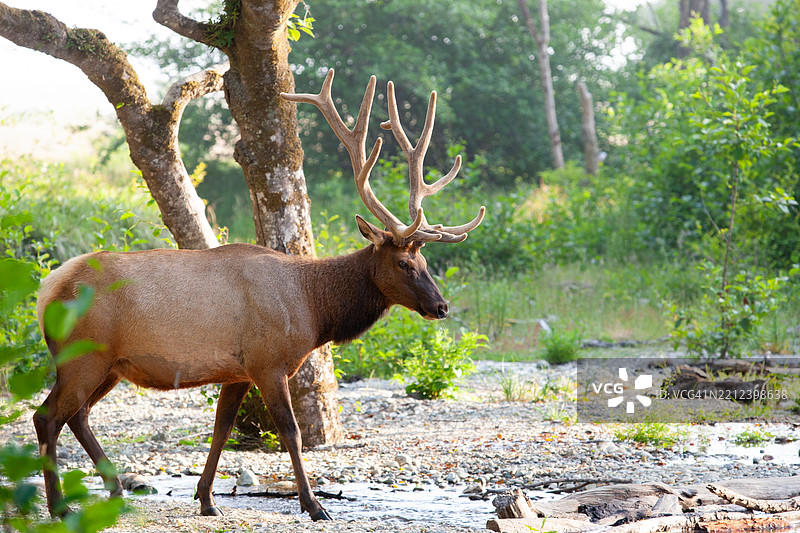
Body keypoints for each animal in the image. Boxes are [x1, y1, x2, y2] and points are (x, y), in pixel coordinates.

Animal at [34, 69, 485, 521]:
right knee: (48, 416)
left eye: (425, 262)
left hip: (108, 365)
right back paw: (59, 505)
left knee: (77, 416)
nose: (441, 306)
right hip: (84, 357)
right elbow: (291, 432)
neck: (312, 309)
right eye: (405, 264)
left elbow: (221, 429)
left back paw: (112, 490)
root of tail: (47, 290)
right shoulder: (268, 361)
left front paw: (207, 499)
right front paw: (314, 504)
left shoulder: (238, 370)